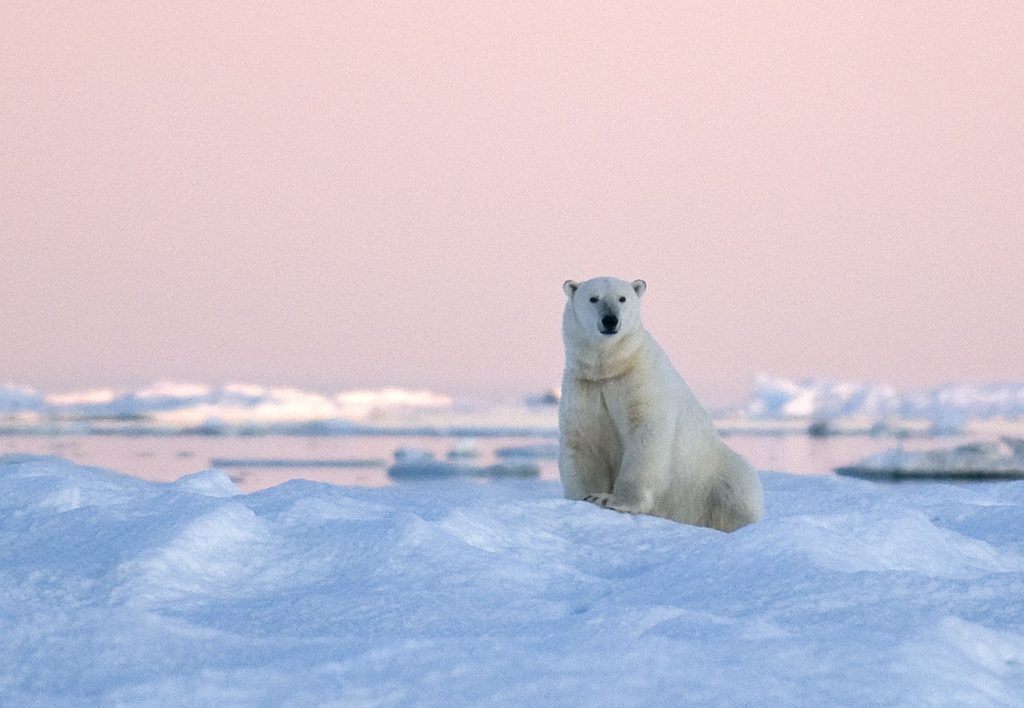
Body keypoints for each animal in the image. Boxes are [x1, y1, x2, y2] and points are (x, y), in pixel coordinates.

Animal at [558, 276, 763, 532]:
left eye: (622, 298)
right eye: (593, 298)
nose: (610, 320)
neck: (611, 368)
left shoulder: (641, 380)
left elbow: (646, 436)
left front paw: (612, 500)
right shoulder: (585, 388)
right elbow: (584, 442)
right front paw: (587, 497)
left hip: (712, 473)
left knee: (737, 489)